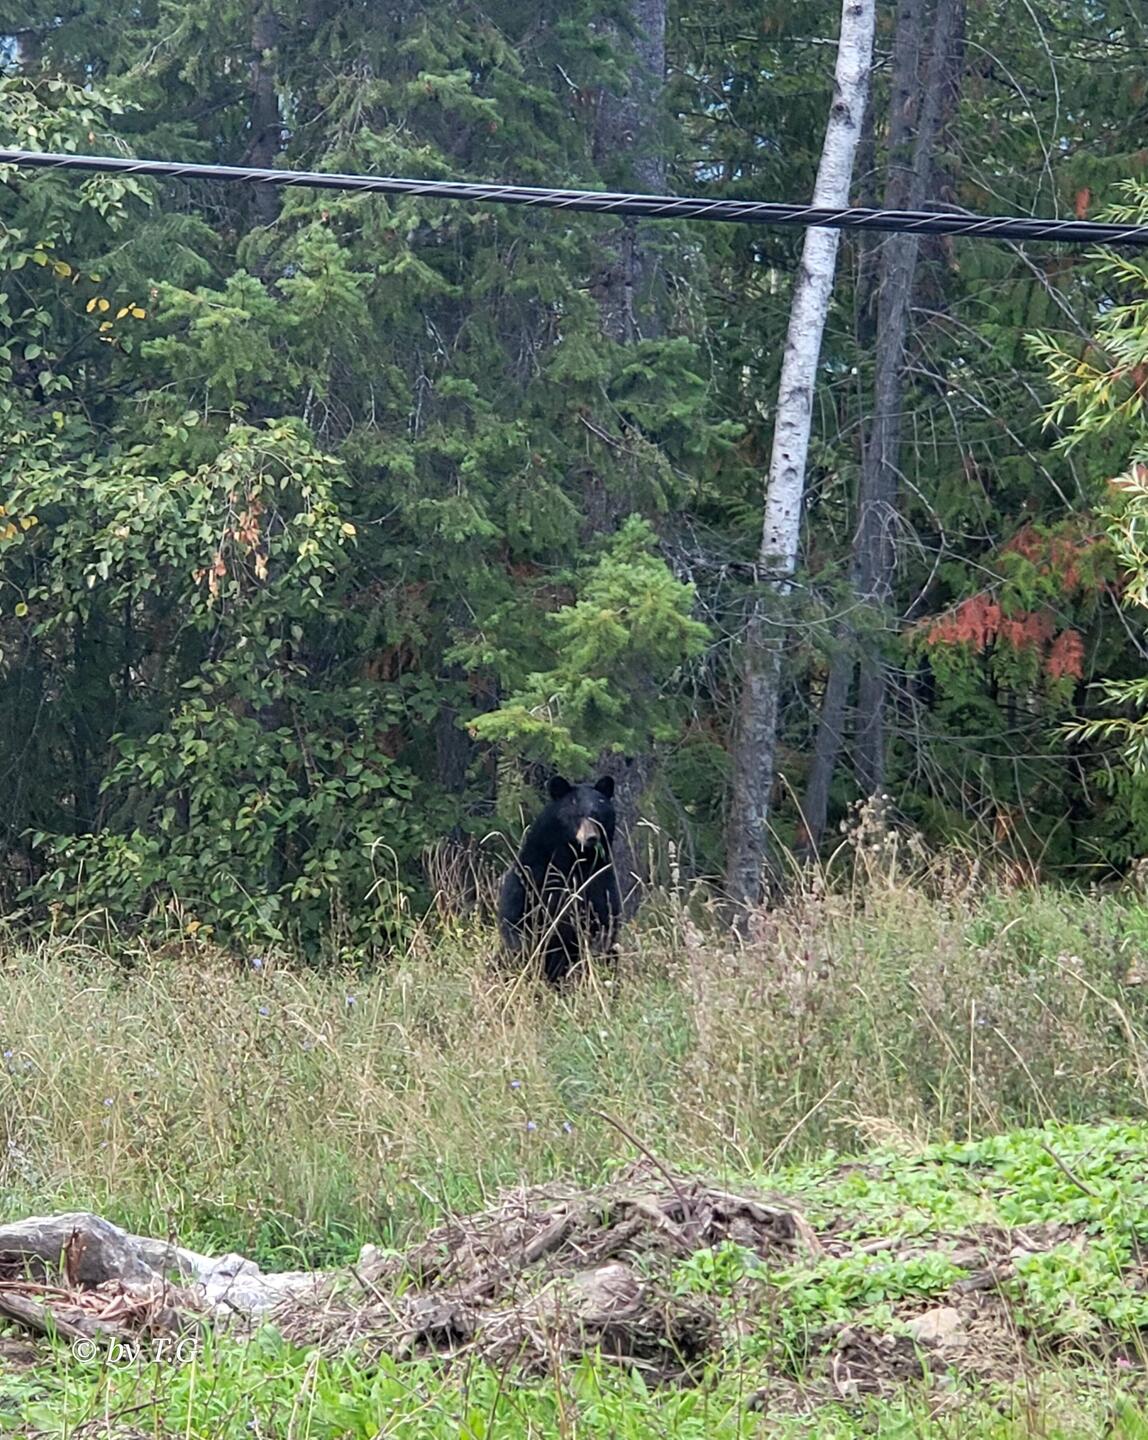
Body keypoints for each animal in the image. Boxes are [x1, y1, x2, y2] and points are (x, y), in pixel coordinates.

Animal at [498, 775, 622, 984]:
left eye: (597, 815)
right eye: (577, 814)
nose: (591, 837)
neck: (572, 859)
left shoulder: (598, 879)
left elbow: (605, 917)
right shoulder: (533, 873)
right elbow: (515, 914)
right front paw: (525, 954)